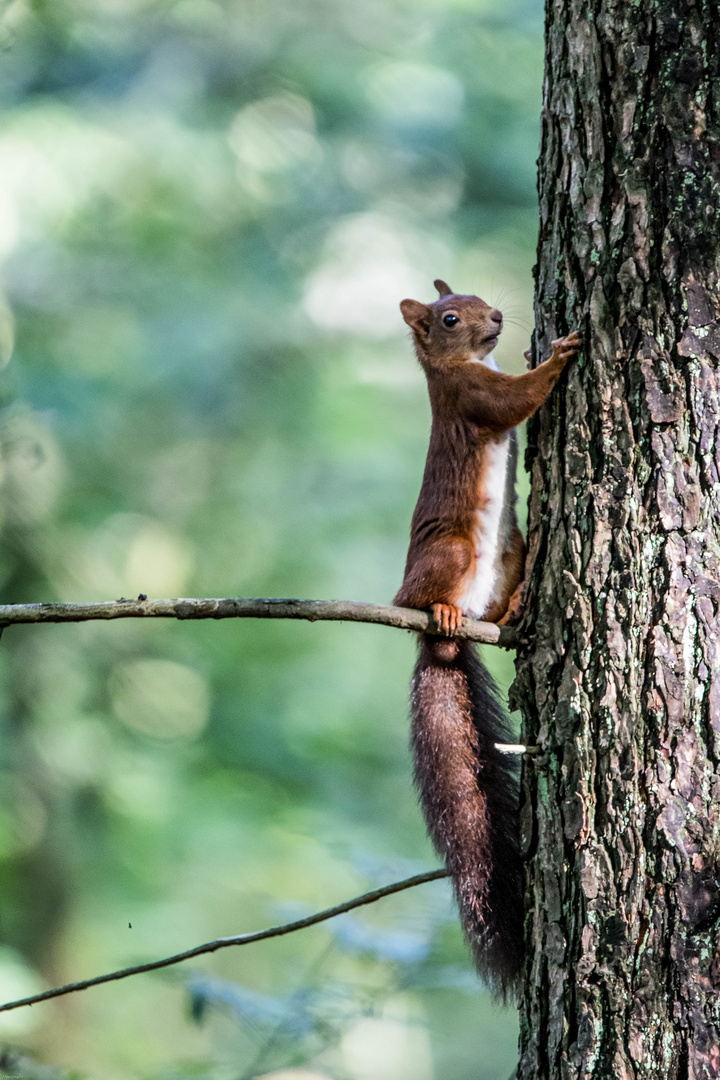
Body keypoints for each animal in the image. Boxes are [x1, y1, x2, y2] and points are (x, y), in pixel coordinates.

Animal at [395, 280, 578, 993]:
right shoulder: (472, 398)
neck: (458, 366)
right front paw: (557, 355)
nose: (499, 317)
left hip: (513, 548)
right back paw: (441, 609)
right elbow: (516, 400)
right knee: (413, 599)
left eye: (478, 297)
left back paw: (516, 607)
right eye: (449, 317)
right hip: (448, 553)